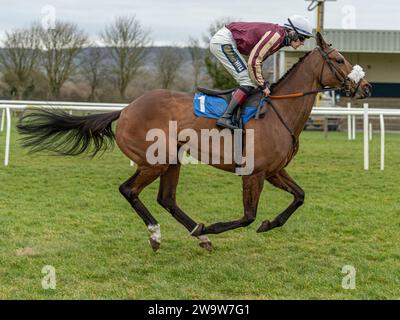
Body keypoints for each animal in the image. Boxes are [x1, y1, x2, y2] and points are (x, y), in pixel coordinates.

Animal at [17, 33, 370, 252]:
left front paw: (270, 224)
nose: (365, 87)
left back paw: (196, 237)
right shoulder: (254, 173)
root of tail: (126, 109)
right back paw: (160, 234)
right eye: (339, 59)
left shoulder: (273, 171)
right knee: (129, 190)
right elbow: (247, 216)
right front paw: (212, 227)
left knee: (167, 199)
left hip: (171, 161)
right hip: (154, 160)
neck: (278, 111)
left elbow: (299, 197)